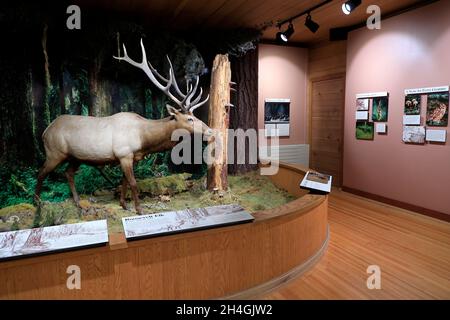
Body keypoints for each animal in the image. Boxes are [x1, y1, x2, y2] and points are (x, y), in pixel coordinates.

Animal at [33, 40, 213, 215]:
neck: (144, 140)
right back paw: (37, 201)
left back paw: (77, 202)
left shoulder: (130, 157)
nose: (210, 131)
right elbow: (133, 182)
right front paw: (139, 209)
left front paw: (124, 205)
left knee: (68, 173)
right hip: (54, 152)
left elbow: (124, 181)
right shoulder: (124, 153)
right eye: (189, 118)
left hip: (75, 157)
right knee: (41, 172)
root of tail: (45, 131)